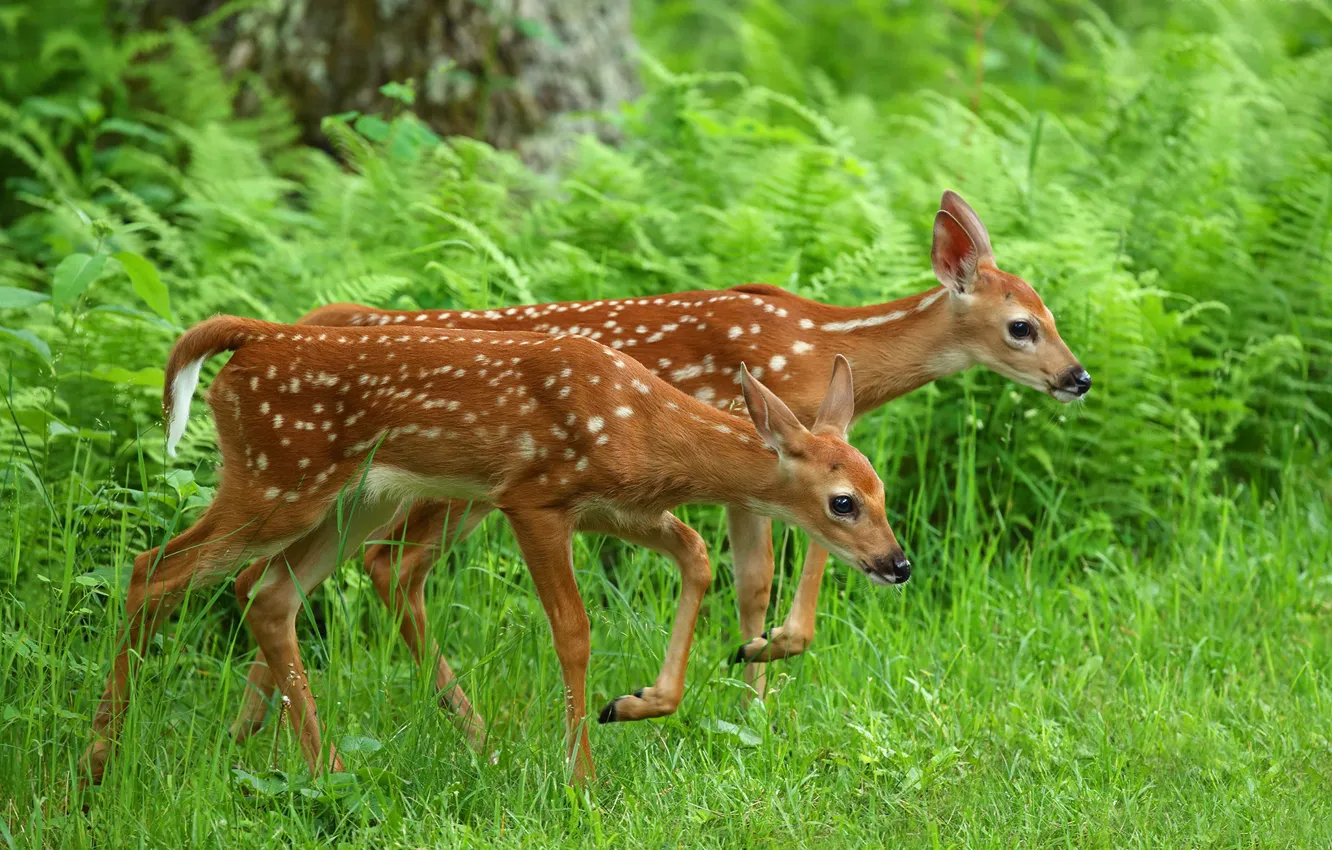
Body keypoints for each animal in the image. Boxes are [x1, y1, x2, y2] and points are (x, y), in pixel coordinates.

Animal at [81, 317, 907, 785]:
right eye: (843, 501)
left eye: (883, 489)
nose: (898, 563)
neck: (641, 425)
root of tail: (249, 341)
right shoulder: (533, 496)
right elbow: (573, 631)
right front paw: (582, 780)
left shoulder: (618, 507)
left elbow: (700, 555)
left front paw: (636, 702)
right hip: (280, 476)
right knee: (156, 570)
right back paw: (96, 766)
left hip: (353, 497)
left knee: (270, 594)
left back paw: (327, 772)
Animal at [223, 191, 1091, 750]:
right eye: (1022, 326)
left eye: (1052, 313)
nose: (1078, 376)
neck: (825, 342)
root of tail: (320, 318)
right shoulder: (778, 440)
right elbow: (786, 570)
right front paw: (764, 663)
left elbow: (749, 582)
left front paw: (751, 702)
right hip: (448, 489)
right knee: (368, 565)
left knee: (297, 574)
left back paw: (250, 733)